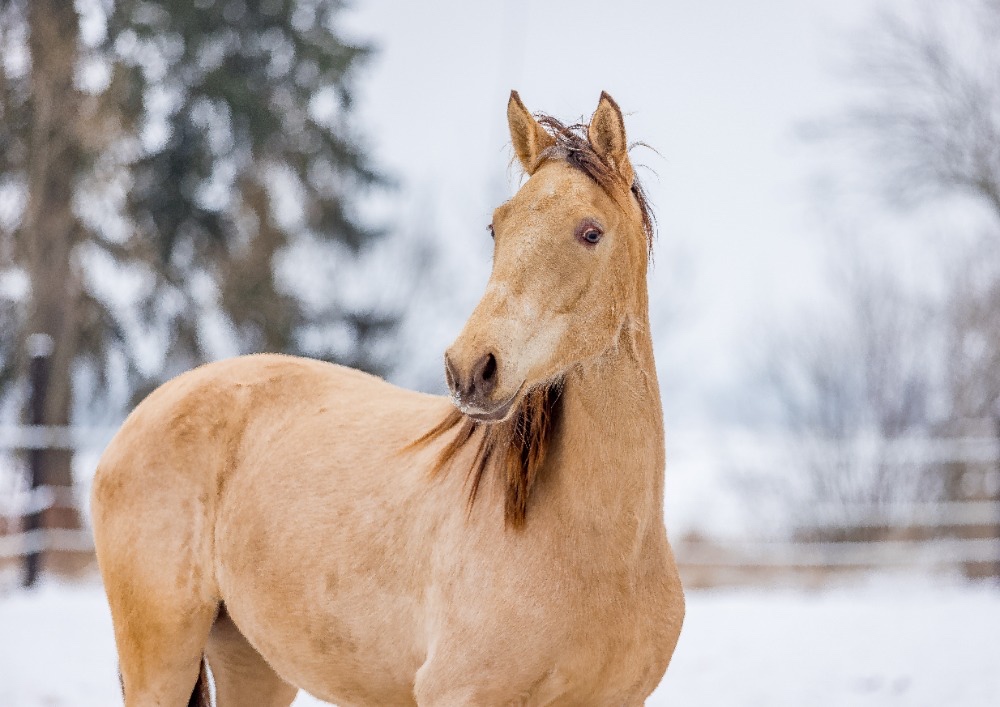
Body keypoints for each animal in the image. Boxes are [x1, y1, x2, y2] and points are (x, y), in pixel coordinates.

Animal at [92, 94, 688, 707]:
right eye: (496, 227)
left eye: (591, 233)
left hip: (254, 662)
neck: (600, 549)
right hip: (161, 659)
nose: (470, 369)